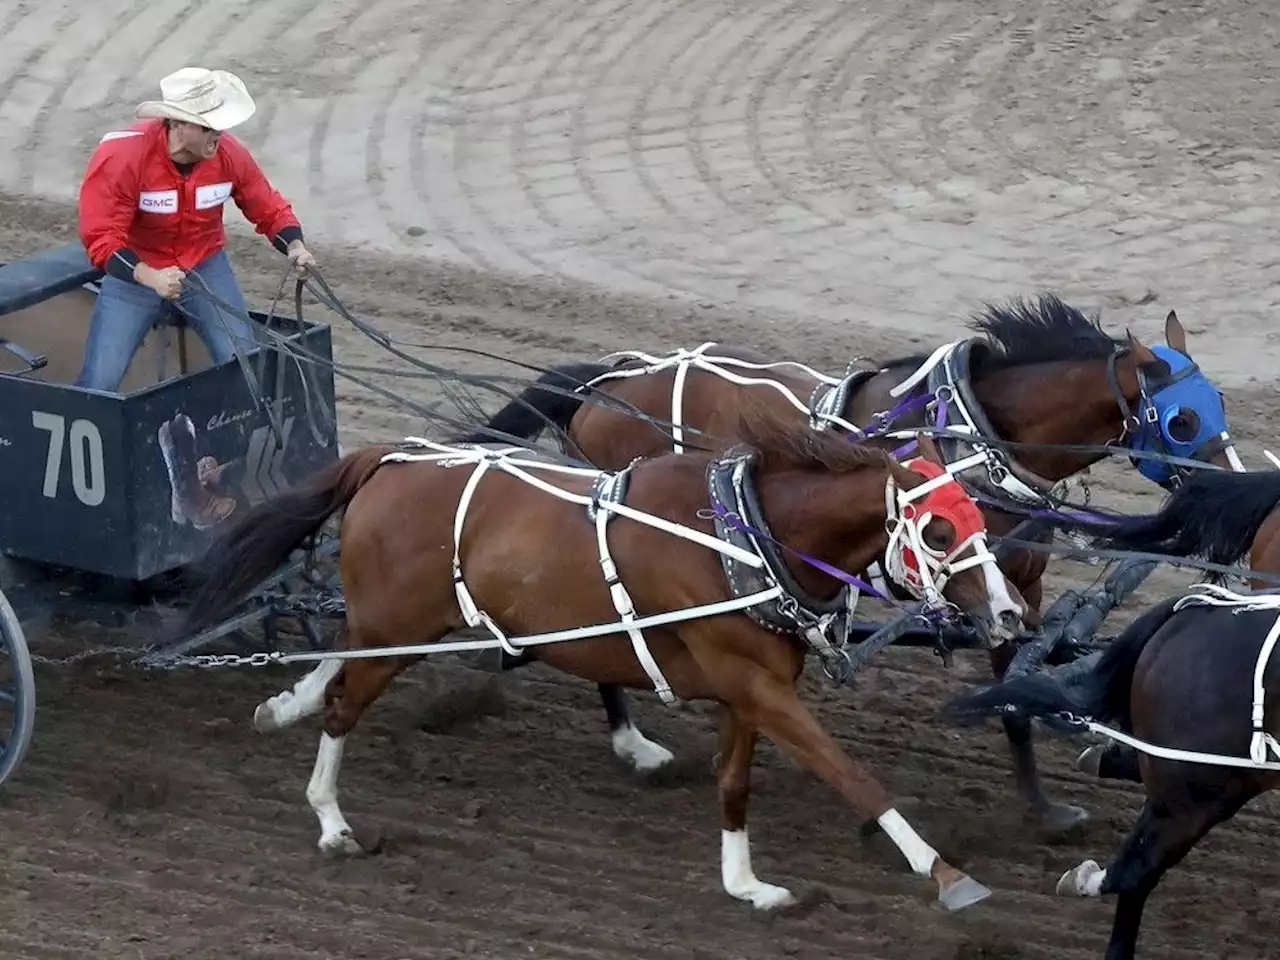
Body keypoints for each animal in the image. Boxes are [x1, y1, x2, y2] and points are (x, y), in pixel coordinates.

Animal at [186, 407, 1029, 916]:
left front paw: (744, 883)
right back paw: (331, 819)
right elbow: (846, 771)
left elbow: (733, 782)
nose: (1010, 612)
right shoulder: (754, 684)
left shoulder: (750, 688)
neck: (738, 538)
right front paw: (946, 873)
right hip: (402, 625)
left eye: (980, 518)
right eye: (940, 532)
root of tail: (388, 459)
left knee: (336, 668)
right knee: (344, 707)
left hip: (388, 625)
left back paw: (285, 708)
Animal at [463, 293, 1239, 834]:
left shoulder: (1014, 584)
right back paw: (631, 740)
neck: (975, 434)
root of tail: (604, 381)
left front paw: (1044, 807)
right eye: (1182, 421)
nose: (1229, 483)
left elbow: (1017, 688)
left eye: (1220, 404)